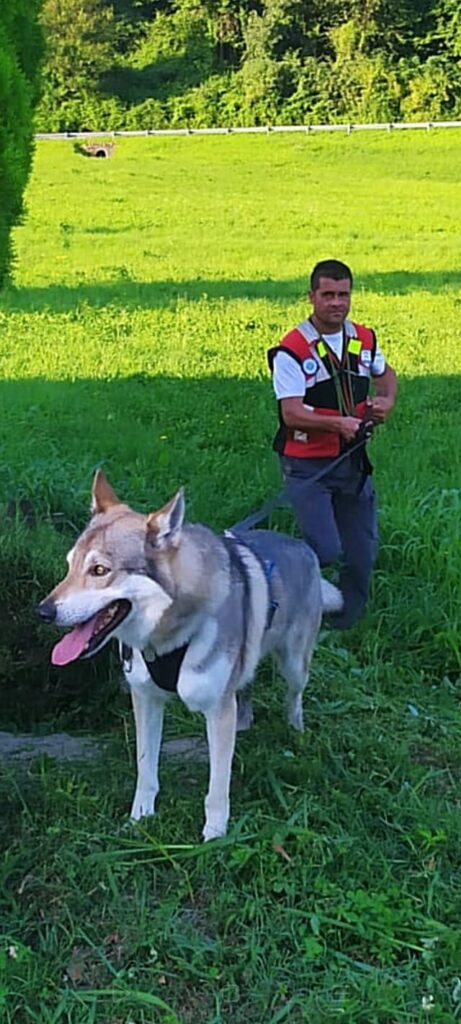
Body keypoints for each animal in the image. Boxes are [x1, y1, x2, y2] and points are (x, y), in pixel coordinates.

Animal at [36, 471, 342, 839]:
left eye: (99, 570)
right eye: (69, 566)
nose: (43, 612)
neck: (165, 637)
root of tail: (303, 547)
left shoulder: (217, 710)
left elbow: (217, 788)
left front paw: (214, 837)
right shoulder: (145, 699)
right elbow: (146, 769)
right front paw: (139, 819)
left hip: (295, 667)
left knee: (293, 697)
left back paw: (296, 733)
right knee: (246, 692)